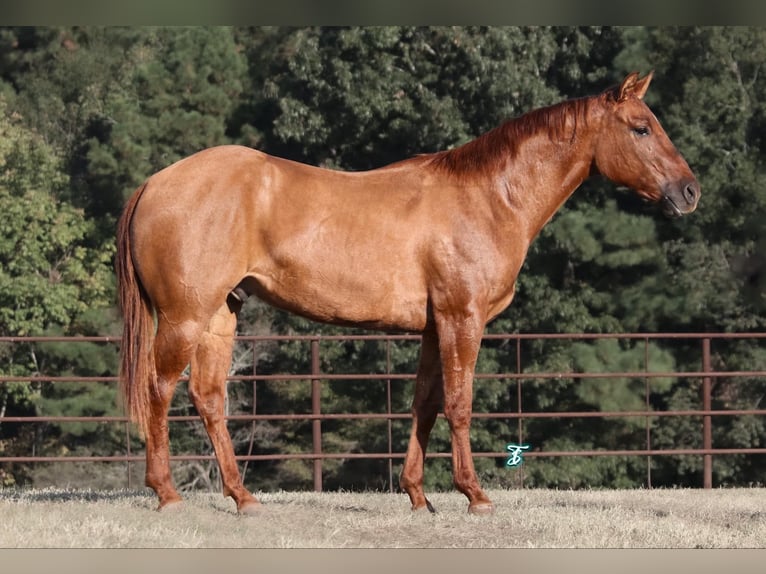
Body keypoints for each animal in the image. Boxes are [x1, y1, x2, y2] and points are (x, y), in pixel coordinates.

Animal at [115, 72, 704, 516]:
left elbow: (425, 403)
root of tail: (155, 183)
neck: (490, 197)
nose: (689, 192)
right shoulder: (463, 318)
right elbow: (459, 404)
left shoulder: (433, 326)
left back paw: (243, 497)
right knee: (159, 390)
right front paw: (475, 495)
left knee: (209, 397)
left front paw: (419, 496)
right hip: (184, 318)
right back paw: (167, 494)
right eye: (641, 128)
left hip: (220, 316)